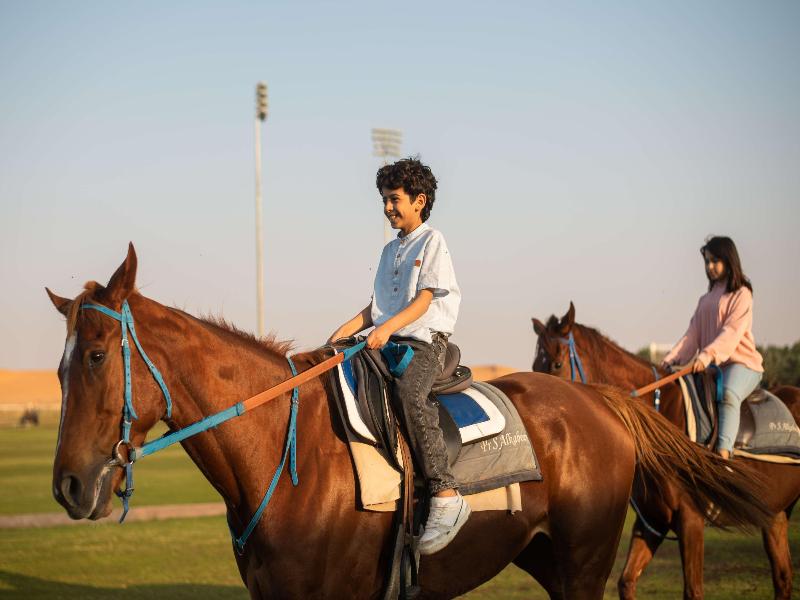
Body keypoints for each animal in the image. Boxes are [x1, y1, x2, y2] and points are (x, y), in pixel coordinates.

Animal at [46, 245, 772, 599]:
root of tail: (598, 400)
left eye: (95, 355)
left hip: (583, 566)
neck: (288, 461)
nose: (68, 486)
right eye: (58, 368)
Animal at [532, 302, 800, 600]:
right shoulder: (652, 521)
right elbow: (626, 581)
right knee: (782, 578)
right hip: (776, 515)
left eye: (556, 363)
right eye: (535, 365)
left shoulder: (691, 519)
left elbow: (693, 590)